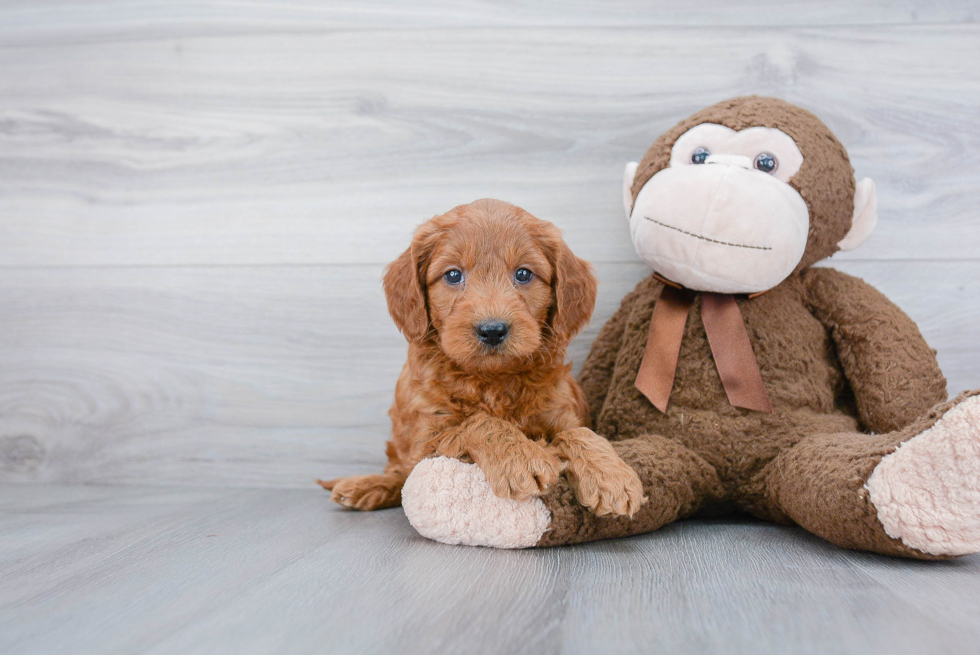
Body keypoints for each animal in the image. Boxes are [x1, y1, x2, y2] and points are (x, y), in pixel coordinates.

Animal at [318, 200, 648, 516]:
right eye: (453, 275)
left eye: (523, 274)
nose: (492, 330)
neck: (493, 380)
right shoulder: (427, 440)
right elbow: (477, 423)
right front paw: (521, 457)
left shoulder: (562, 409)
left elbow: (579, 433)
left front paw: (611, 477)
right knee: (399, 475)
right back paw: (363, 487)